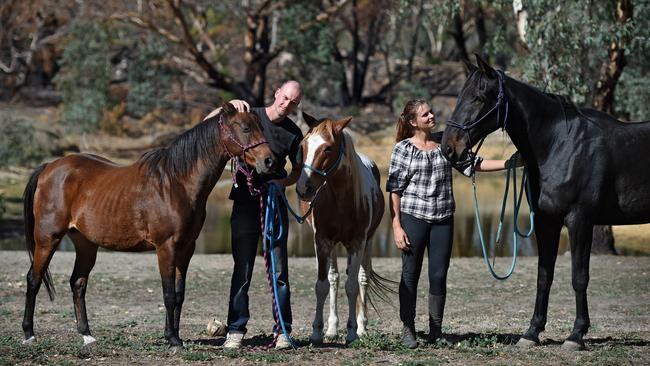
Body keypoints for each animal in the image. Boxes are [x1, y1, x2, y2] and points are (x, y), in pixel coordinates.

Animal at [20, 102, 274, 346]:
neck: (176, 183)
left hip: (85, 244)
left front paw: (175, 335)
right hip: (47, 239)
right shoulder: (166, 247)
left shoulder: (186, 248)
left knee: (78, 283)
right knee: (33, 280)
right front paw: (172, 339)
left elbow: (179, 294)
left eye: (262, 127)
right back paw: (29, 334)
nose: (269, 160)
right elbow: (168, 294)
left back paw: (87, 335)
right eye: (246, 128)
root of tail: (49, 167)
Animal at [296, 115, 392, 346]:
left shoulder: (357, 242)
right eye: (303, 146)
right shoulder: (322, 241)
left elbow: (352, 286)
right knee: (334, 279)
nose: (304, 188)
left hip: (369, 242)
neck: (340, 198)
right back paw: (331, 329)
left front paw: (352, 332)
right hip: (333, 246)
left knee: (363, 279)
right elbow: (322, 285)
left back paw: (362, 328)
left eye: (328, 148)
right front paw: (317, 332)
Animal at [440, 55, 648, 352]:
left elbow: (579, 277)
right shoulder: (546, 222)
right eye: (459, 97)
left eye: (478, 98)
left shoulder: (579, 221)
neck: (561, 144)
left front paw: (576, 335)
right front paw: (532, 332)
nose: (448, 148)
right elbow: (544, 276)